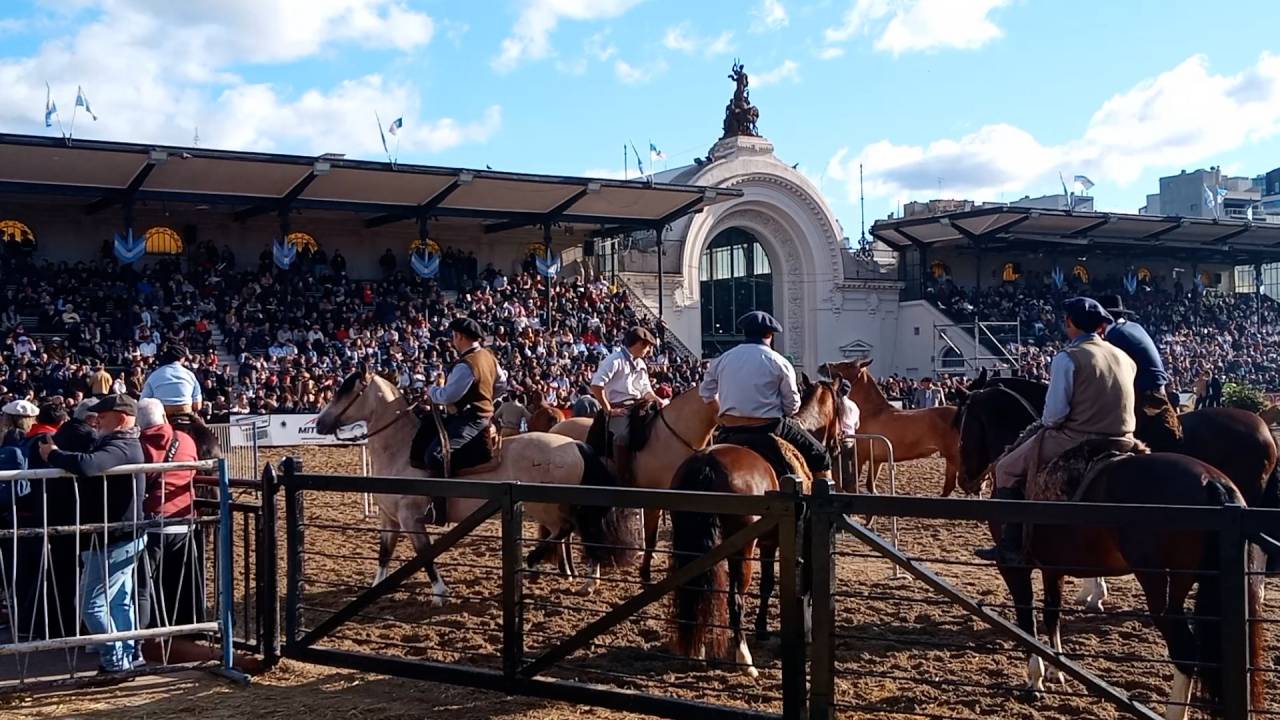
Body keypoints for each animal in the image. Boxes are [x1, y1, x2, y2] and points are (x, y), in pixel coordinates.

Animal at [311, 368, 640, 599]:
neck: (402, 449)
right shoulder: (388, 518)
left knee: (572, 530)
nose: (319, 423)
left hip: (545, 507)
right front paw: (377, 588)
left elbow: (424, 555)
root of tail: (574, 445)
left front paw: (440, 592)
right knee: (573, 533)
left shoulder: (410, 519)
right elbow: (384, 554)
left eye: (345, 392)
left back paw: (552, 568)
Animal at [819, 356, 962, 491]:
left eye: (848, 364)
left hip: (955, 457)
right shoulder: (876, 460)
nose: (822, 366)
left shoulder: (860, 457)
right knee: (950, 485)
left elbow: (854, 485)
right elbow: (870, 485)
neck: (872, 412)